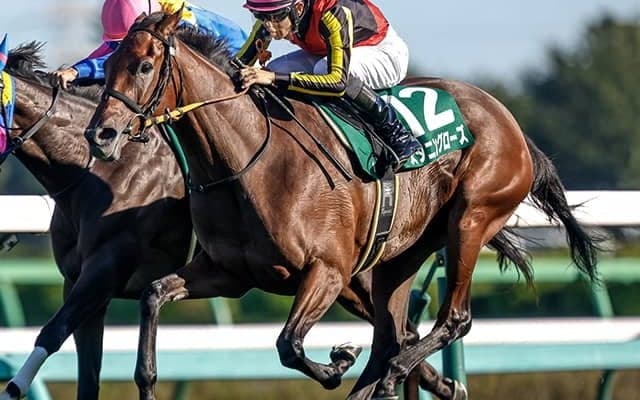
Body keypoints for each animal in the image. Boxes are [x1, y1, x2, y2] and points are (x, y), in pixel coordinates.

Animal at [84, 11, 599, 400]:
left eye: (144, 66)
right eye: (107, 68)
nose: (100, 135)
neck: (248, 161)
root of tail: (508, 120)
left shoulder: (327, 270)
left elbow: (289, 344)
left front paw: (337, 362)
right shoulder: (229, 273)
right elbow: (153, 294)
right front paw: (148, 382)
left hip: (471, 220)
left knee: (451, 320)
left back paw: (394, 374)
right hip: (399, 254)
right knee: (393, 334)